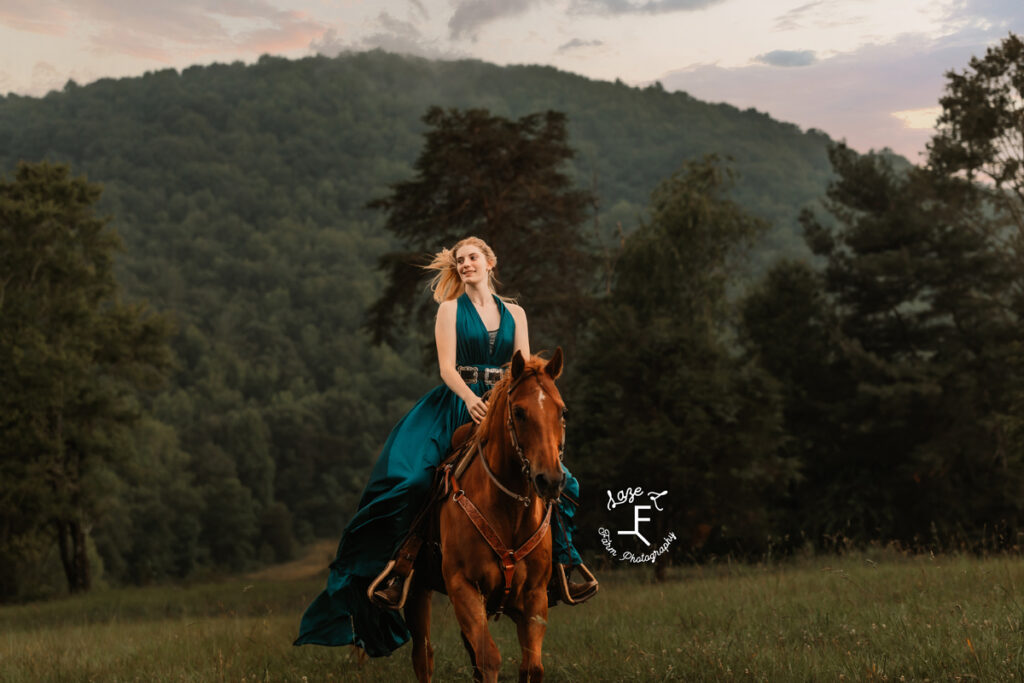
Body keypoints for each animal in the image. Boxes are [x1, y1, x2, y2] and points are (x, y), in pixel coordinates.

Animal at [403, 350, 569, 679]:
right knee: (423, 657)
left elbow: (532, 667)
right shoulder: (463, 588)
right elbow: (489, 658)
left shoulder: (535, 596)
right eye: (519, 412)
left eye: (562, 412)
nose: (550, 480)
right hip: (417, 591)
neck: (508, 513)